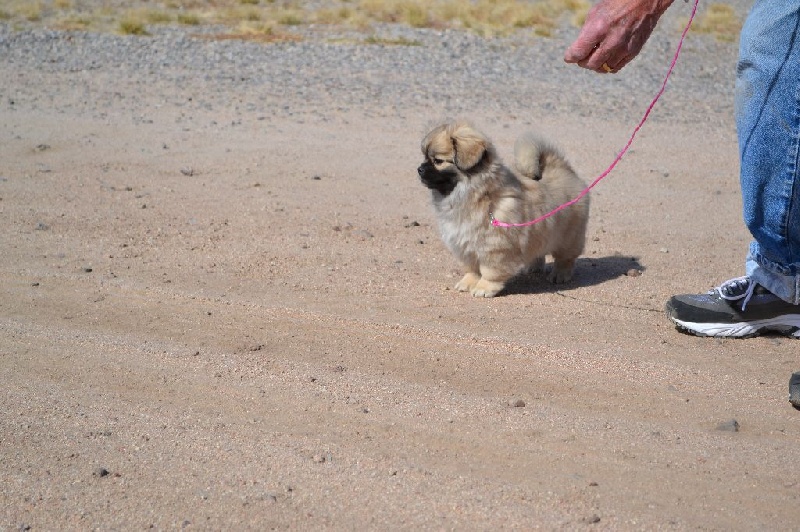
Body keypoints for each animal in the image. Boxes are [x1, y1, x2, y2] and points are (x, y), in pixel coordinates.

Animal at [418, 120, 588, 298]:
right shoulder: (465, 247)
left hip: (568, 238)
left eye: (438, 161)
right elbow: (471, 269)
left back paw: (559, 275)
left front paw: (484, 288)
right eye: (425, 157)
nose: (419, 169)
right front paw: (468, 282)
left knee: (565, 259)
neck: (480, 196)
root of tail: (563, 169)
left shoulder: (495, 248)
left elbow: (489, 272)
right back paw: (533, 267)